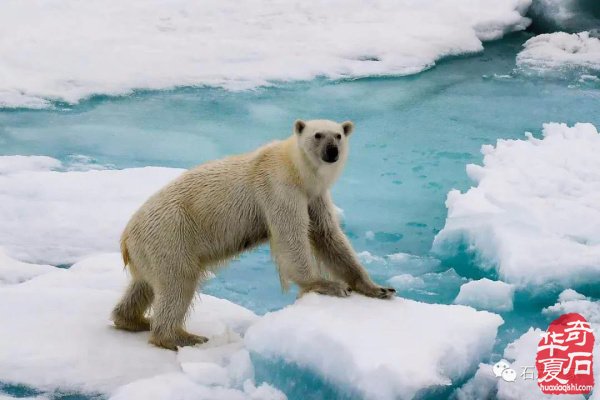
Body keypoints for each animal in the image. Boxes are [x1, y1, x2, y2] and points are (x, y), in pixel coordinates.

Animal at [111, 119, 398, 350]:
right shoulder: (280, 188)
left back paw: (133, 319)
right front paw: (327, 284)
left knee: (145, 285)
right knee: (178, 282)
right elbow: (291, 236)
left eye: (338, 135)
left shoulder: (314, 196)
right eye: (318, 135)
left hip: (151, 249)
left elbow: (328, 237)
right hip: (171, 234)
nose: (332, 151)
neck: (295, 168)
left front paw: (377, 288)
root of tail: (126, 237)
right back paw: (180, 336)